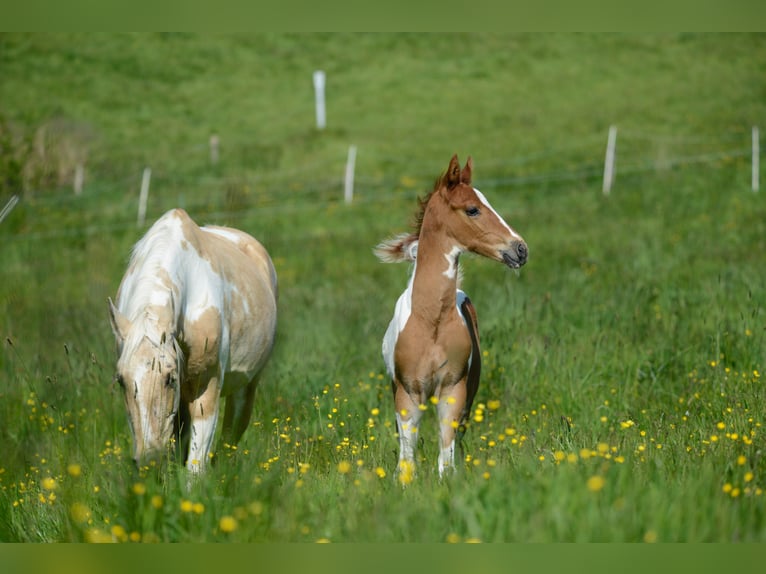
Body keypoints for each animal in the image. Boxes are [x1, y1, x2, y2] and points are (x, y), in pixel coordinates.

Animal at [106, 209, 278, 474]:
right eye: (121, 381)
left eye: (169, 378)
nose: (149, 461)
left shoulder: (206, 388)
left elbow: (195, 468)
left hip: (246, 387)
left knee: (229, 439)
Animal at [376, 155, 528, 480]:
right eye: (472, 209)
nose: (520, 249)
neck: (430, 321)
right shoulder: (408, 392)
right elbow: (407, 457)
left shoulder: (453, 389)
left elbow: (446, 454)